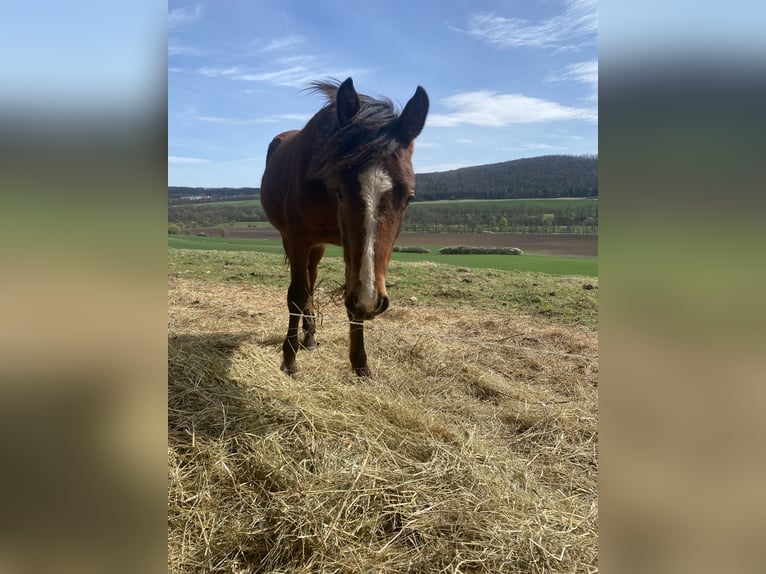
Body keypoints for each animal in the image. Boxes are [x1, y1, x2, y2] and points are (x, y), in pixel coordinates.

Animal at [262, 77, 432, 378]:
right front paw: (289, 359)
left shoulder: (350, 251)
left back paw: (310, 336)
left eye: (409, 197)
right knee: (305, 286)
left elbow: (348, 299)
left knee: (312, 278)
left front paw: (360, 363)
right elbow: (296, 294)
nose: (372, 300)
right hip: (294, 240)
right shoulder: (297, 239)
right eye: (339, 191)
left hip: (318, 247)